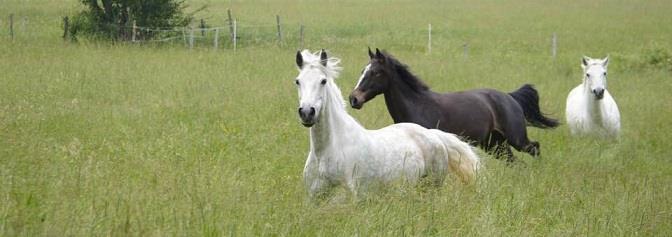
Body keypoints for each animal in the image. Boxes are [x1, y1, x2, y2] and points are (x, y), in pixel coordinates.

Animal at [292, 48, 478, 198]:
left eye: (323, 81)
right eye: (298, 81)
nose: (307, 112)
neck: (326, 152)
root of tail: (432, 134)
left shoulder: (352, 197)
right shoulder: (314, 197)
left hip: (431, 186)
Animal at [350, 48, 560, 162]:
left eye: (376, 72)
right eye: (362, 71)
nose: (354, 99)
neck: (418, 106)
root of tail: (510, 97)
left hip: (516, 138)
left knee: (535, 148)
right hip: (494, 144)